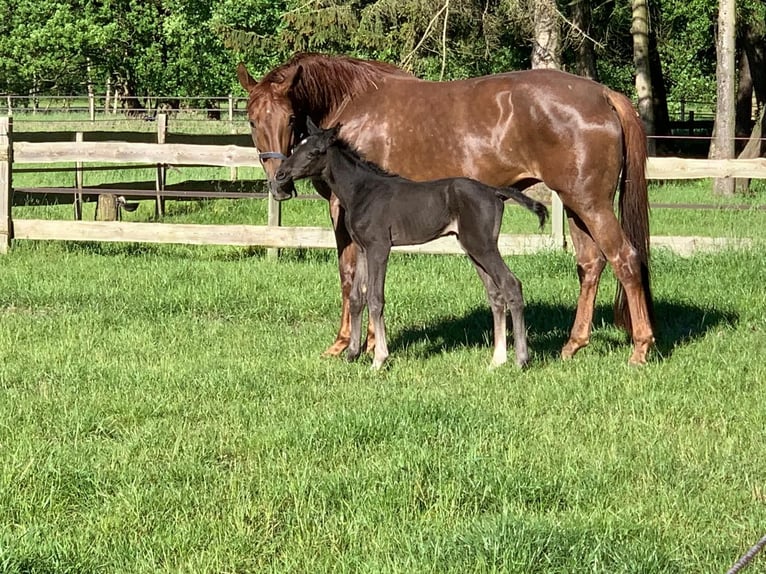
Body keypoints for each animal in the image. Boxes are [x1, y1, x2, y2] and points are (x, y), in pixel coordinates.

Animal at [272, 122, 548, 374]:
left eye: (313, 152)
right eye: (296, 146)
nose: (280, 176)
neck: (362, 192)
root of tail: (494, 192)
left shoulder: (379, 248)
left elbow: (375, 298)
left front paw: (379, 359)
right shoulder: (362, 248)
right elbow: (356, 297)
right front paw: (351, 354)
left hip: (483, 246)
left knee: (511, 284)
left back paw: (521, 360)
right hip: (472, 248)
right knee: (495, 294)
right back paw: (497, 360)